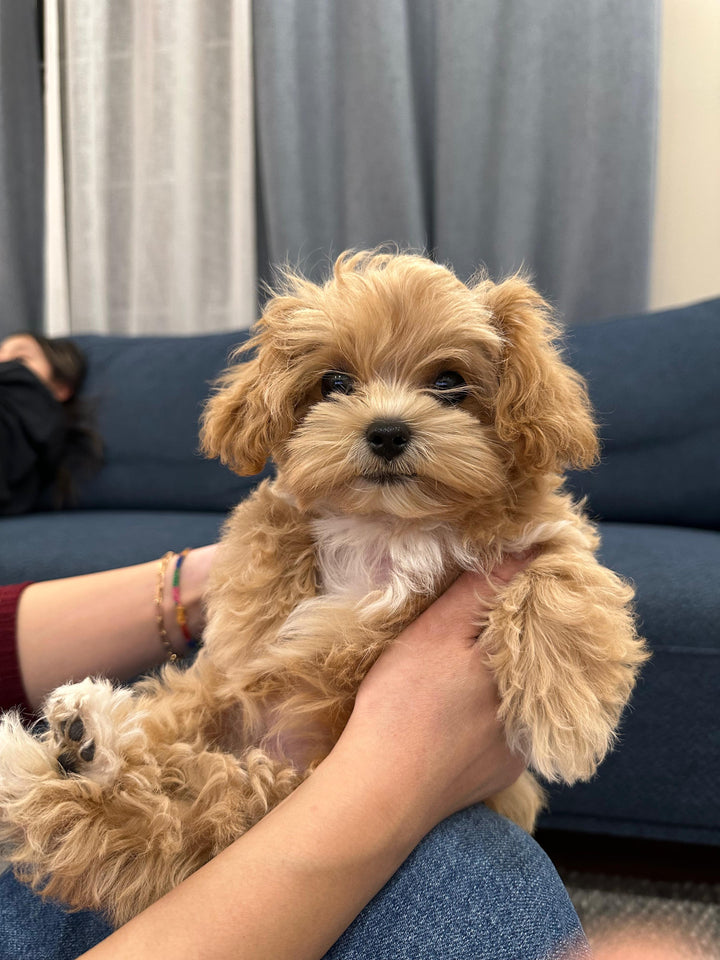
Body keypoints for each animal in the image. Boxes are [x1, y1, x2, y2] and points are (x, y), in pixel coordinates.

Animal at [0, 251, 648, 928]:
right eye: (335, 383)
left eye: (449, 382)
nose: (387, 431)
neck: (390, 525)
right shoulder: (268, 548)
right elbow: (271, 532)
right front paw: (262, 620)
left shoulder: (545, 536)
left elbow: (560, 576)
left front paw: (566, 719)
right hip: (213, 737)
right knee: (154, 794)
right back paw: (85, 740)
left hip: (252, 791)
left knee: (162, 811)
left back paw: (85, 746)